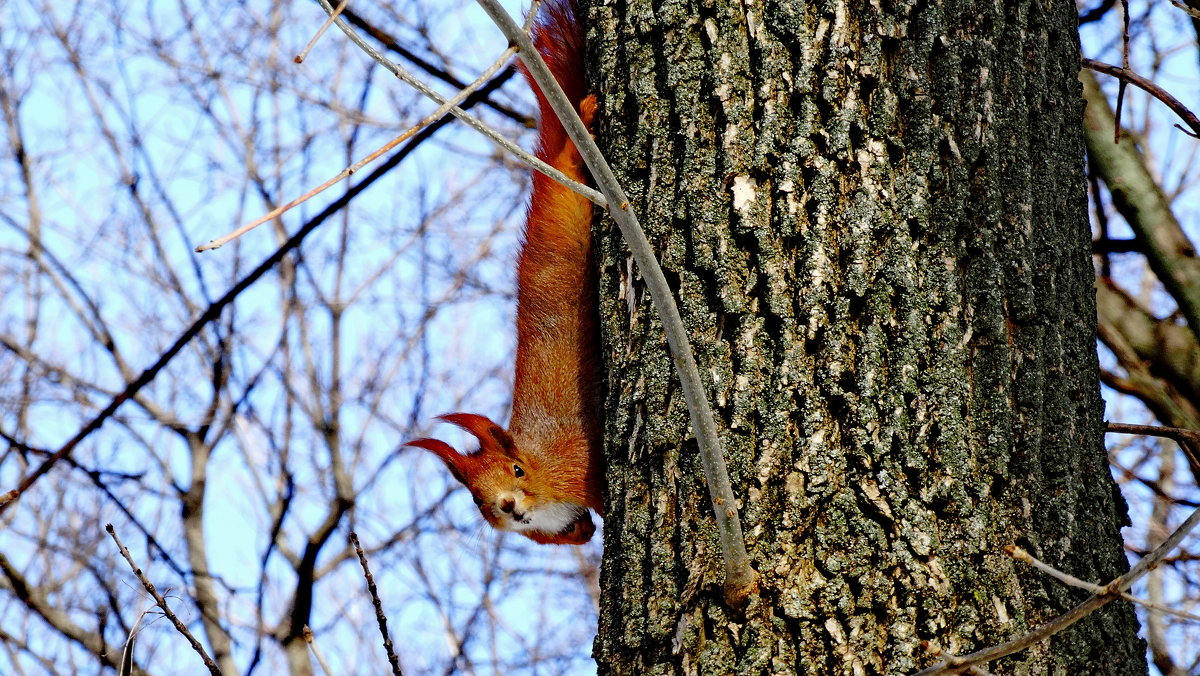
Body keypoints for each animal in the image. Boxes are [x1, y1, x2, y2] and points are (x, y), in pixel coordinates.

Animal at [408, 0, 604, 547]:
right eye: (476, 499)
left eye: (517, 470)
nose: (508, 506)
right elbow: (578, 533)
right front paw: (582, 531)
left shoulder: (576, 465)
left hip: (566, 191)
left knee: (567, 158)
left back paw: (583, 118)